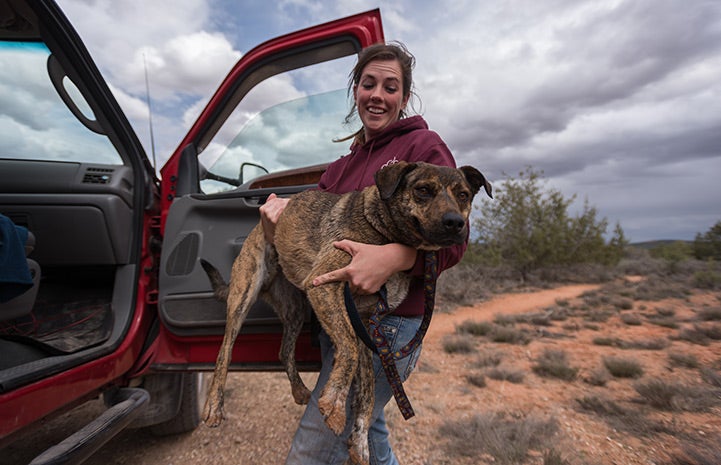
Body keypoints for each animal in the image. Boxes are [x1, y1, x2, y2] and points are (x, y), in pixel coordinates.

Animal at [200, 160, 492, 464]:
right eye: (423, 190)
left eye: (463, 195)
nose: (455, 223)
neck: (383, 231)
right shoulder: (324, 285)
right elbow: (349, 348)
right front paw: (335, 404)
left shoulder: (365, 321)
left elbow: (367, 391)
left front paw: (360, 442)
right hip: (244, 294)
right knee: (224, 352)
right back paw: (214, 406)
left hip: (296, 309)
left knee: (283, 351)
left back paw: (299, 390)